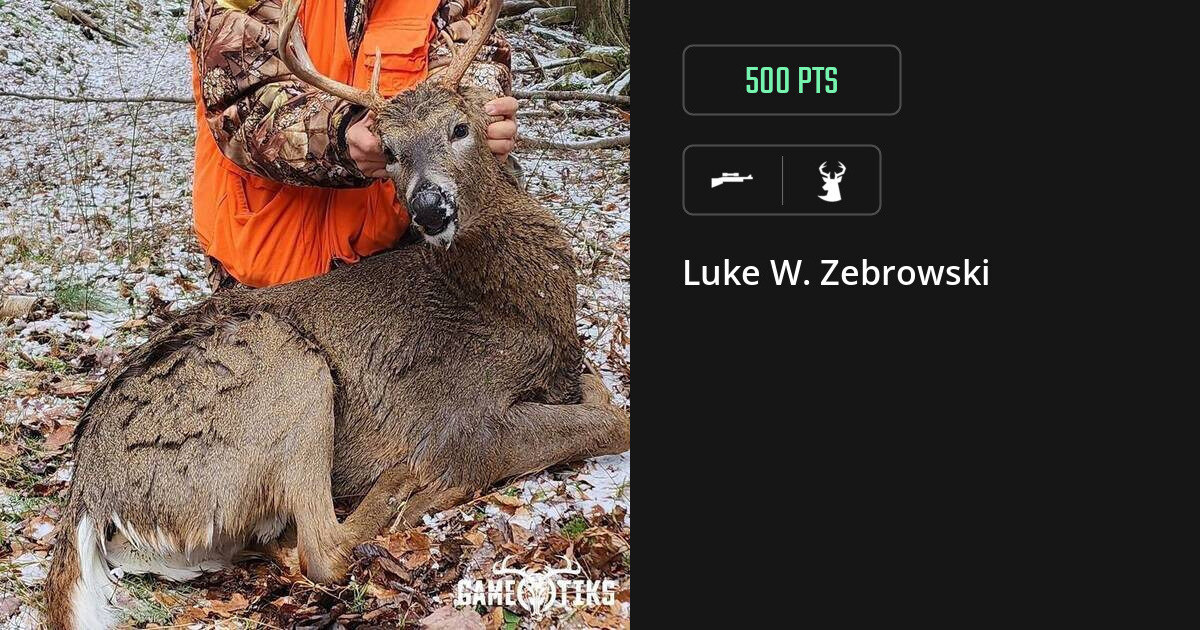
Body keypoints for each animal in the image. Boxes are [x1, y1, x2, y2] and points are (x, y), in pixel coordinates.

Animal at [44, 1, 629, 627]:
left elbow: (594, 384)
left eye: (460, 127)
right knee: (322, 550)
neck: (519, 309)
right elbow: (610, 422)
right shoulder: (463, 417)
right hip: (287, 369)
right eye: (389, 151)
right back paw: (405, 487)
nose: (429, 206)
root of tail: (89, 489)